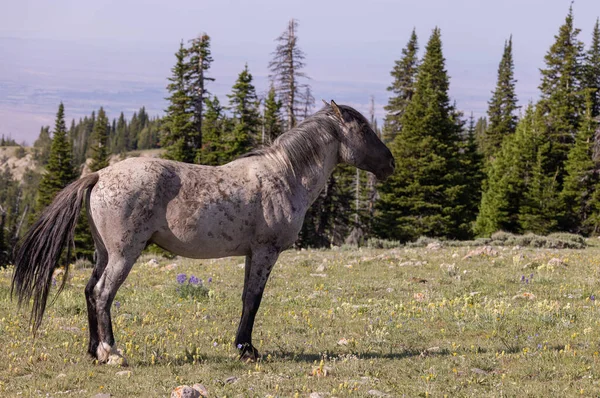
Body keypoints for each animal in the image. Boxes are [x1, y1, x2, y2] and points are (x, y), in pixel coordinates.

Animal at [11, 100, 396, 364]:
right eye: (363, 130)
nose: (390, 163)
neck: (284, 176)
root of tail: (99, 175)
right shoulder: (265, 252)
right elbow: (253, 300)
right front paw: (247, 350)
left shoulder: (252, 254)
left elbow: (246, 299)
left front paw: (243, 346)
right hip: (123, 254)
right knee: (104, 293)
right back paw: (112, 352)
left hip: (104, 253)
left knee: (90, 291)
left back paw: (93, 351)